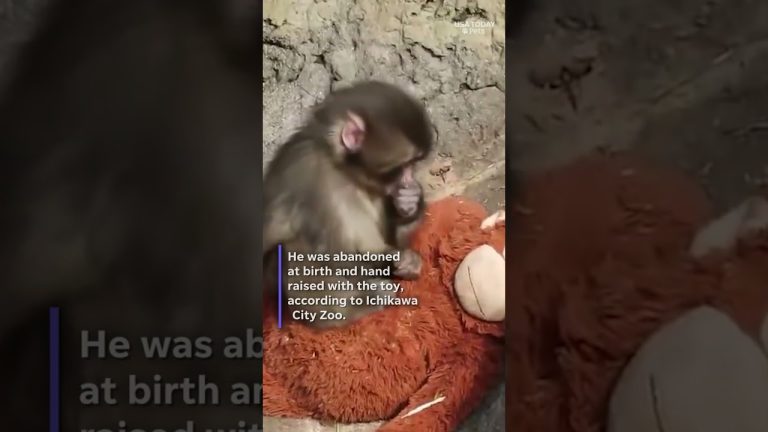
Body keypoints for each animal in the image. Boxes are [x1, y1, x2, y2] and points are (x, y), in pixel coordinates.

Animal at [262, 80, 433, 329]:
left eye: (414, 163)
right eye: (402, 166)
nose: (409, 179)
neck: (339, 166)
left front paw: (409, 203)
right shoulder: (312, 178)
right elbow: (337, 255)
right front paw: (397, 263)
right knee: (289, 249)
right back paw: (355, 306)